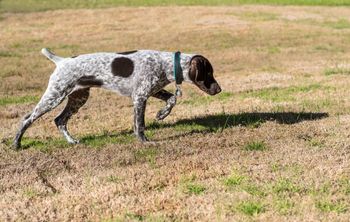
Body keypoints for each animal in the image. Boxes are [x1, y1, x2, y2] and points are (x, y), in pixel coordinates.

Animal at [14, 48, 221, 149]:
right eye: (209, 73)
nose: (219, 90)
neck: (166, 64)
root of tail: (61, 61)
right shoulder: (139, 97)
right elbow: (140, 125)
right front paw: (145, 142)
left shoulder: (151, 91)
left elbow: (172, 99)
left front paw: (162, 114)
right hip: (54, 97)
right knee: (27, 118)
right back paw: (16, 144)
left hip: (78, 98)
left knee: (60, 120)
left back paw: (72, 142)